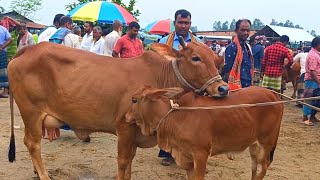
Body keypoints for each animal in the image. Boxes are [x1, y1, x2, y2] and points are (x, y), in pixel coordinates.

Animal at [7, 39, 228, 180]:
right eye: (196, 58)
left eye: (216, 60)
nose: (223, 88)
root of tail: (30, 49)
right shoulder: (124, 127)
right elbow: (122, 161)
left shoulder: (135, 134)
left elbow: (129, 161)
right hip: (31, 112)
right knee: (32, 143)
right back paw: (44, 175)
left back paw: (37, 172)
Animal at [126, 86, 284, 180]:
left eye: (134, 100)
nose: (126, 116)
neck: (176, 117)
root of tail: (274, 96)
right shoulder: (187, 157)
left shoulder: (201, 155)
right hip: (253, 146)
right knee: (254, 167)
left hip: (266, 143)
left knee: (264, 167)